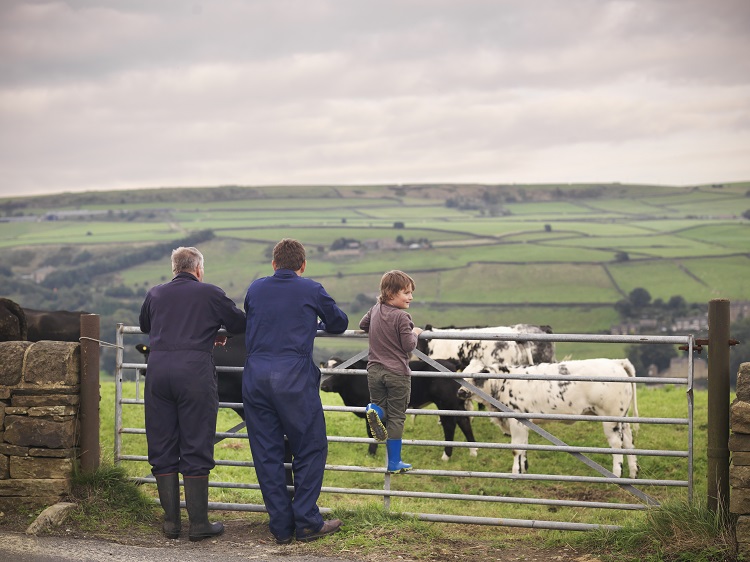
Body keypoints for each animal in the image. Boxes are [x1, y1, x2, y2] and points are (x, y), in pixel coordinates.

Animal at [320, 356, 478, 458]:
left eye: (338, 371)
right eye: (325, 368)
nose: (324, 386)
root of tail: (450, 363)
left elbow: (371, 432)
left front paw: (371, 453)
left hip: (445, 403)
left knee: (450, 425)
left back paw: (446, 455)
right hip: (455, 403)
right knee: (464, 421)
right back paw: (473, 450)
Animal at [458, 356, 640, 474]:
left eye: (479, 374)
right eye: (464, 372)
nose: (460, 392)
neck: (503, 384)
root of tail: (616, 362)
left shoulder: (517, 421)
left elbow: (516, 449)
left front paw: (515, 473)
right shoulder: (524, 422)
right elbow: (524, 447)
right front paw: (524, 470)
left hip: (611, 418)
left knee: (617, 444)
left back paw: (617, 474)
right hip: (622, 418)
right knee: (629, 440)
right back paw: (633, 472)